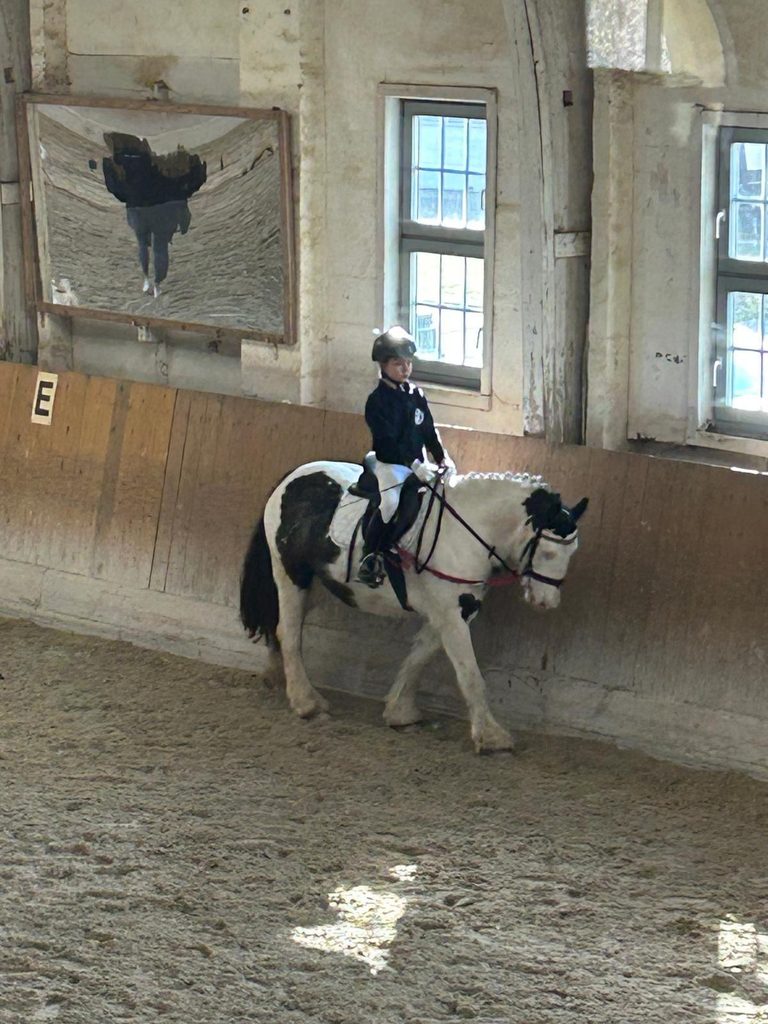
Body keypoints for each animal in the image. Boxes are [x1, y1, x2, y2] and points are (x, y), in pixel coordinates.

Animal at [240, 461, 588, 753]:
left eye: (573, 552)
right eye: (548, 553)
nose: (547, 602)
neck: (465, 534)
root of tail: (291, 477)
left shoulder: (451, 611)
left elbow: (419, 655)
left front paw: (400, 711)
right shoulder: (452, 615)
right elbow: (470, 674)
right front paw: (491, 736)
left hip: (317, 583)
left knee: (280, 625)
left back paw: (277, 676)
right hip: (291, 575)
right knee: (289, 632)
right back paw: (307, 702)